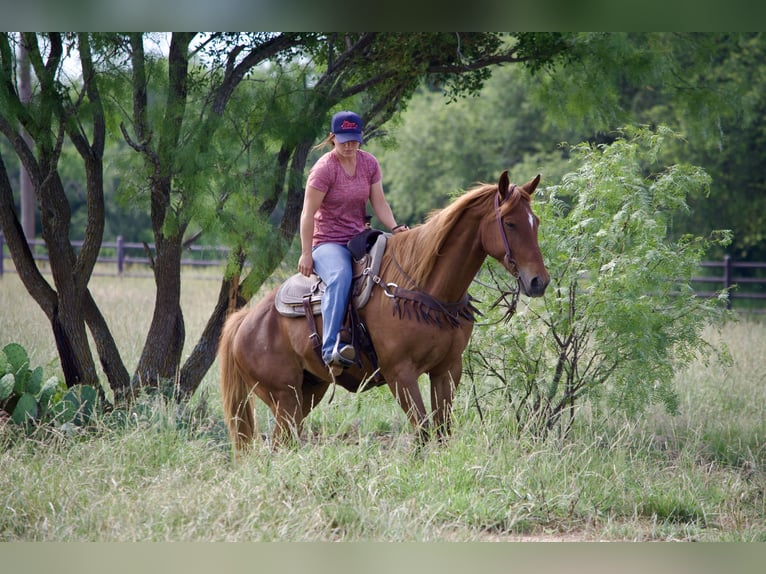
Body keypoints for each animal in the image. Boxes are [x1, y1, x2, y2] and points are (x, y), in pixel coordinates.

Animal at [219, 171, 550, 450]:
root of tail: (244, 321)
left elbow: (442, 432)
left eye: (535, 221)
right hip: (283, 396)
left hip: (308, 392)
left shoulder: (447, 369)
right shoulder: (399, 373)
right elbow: (423, 431)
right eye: (510, 223)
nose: (539, 281)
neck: (426, 289)